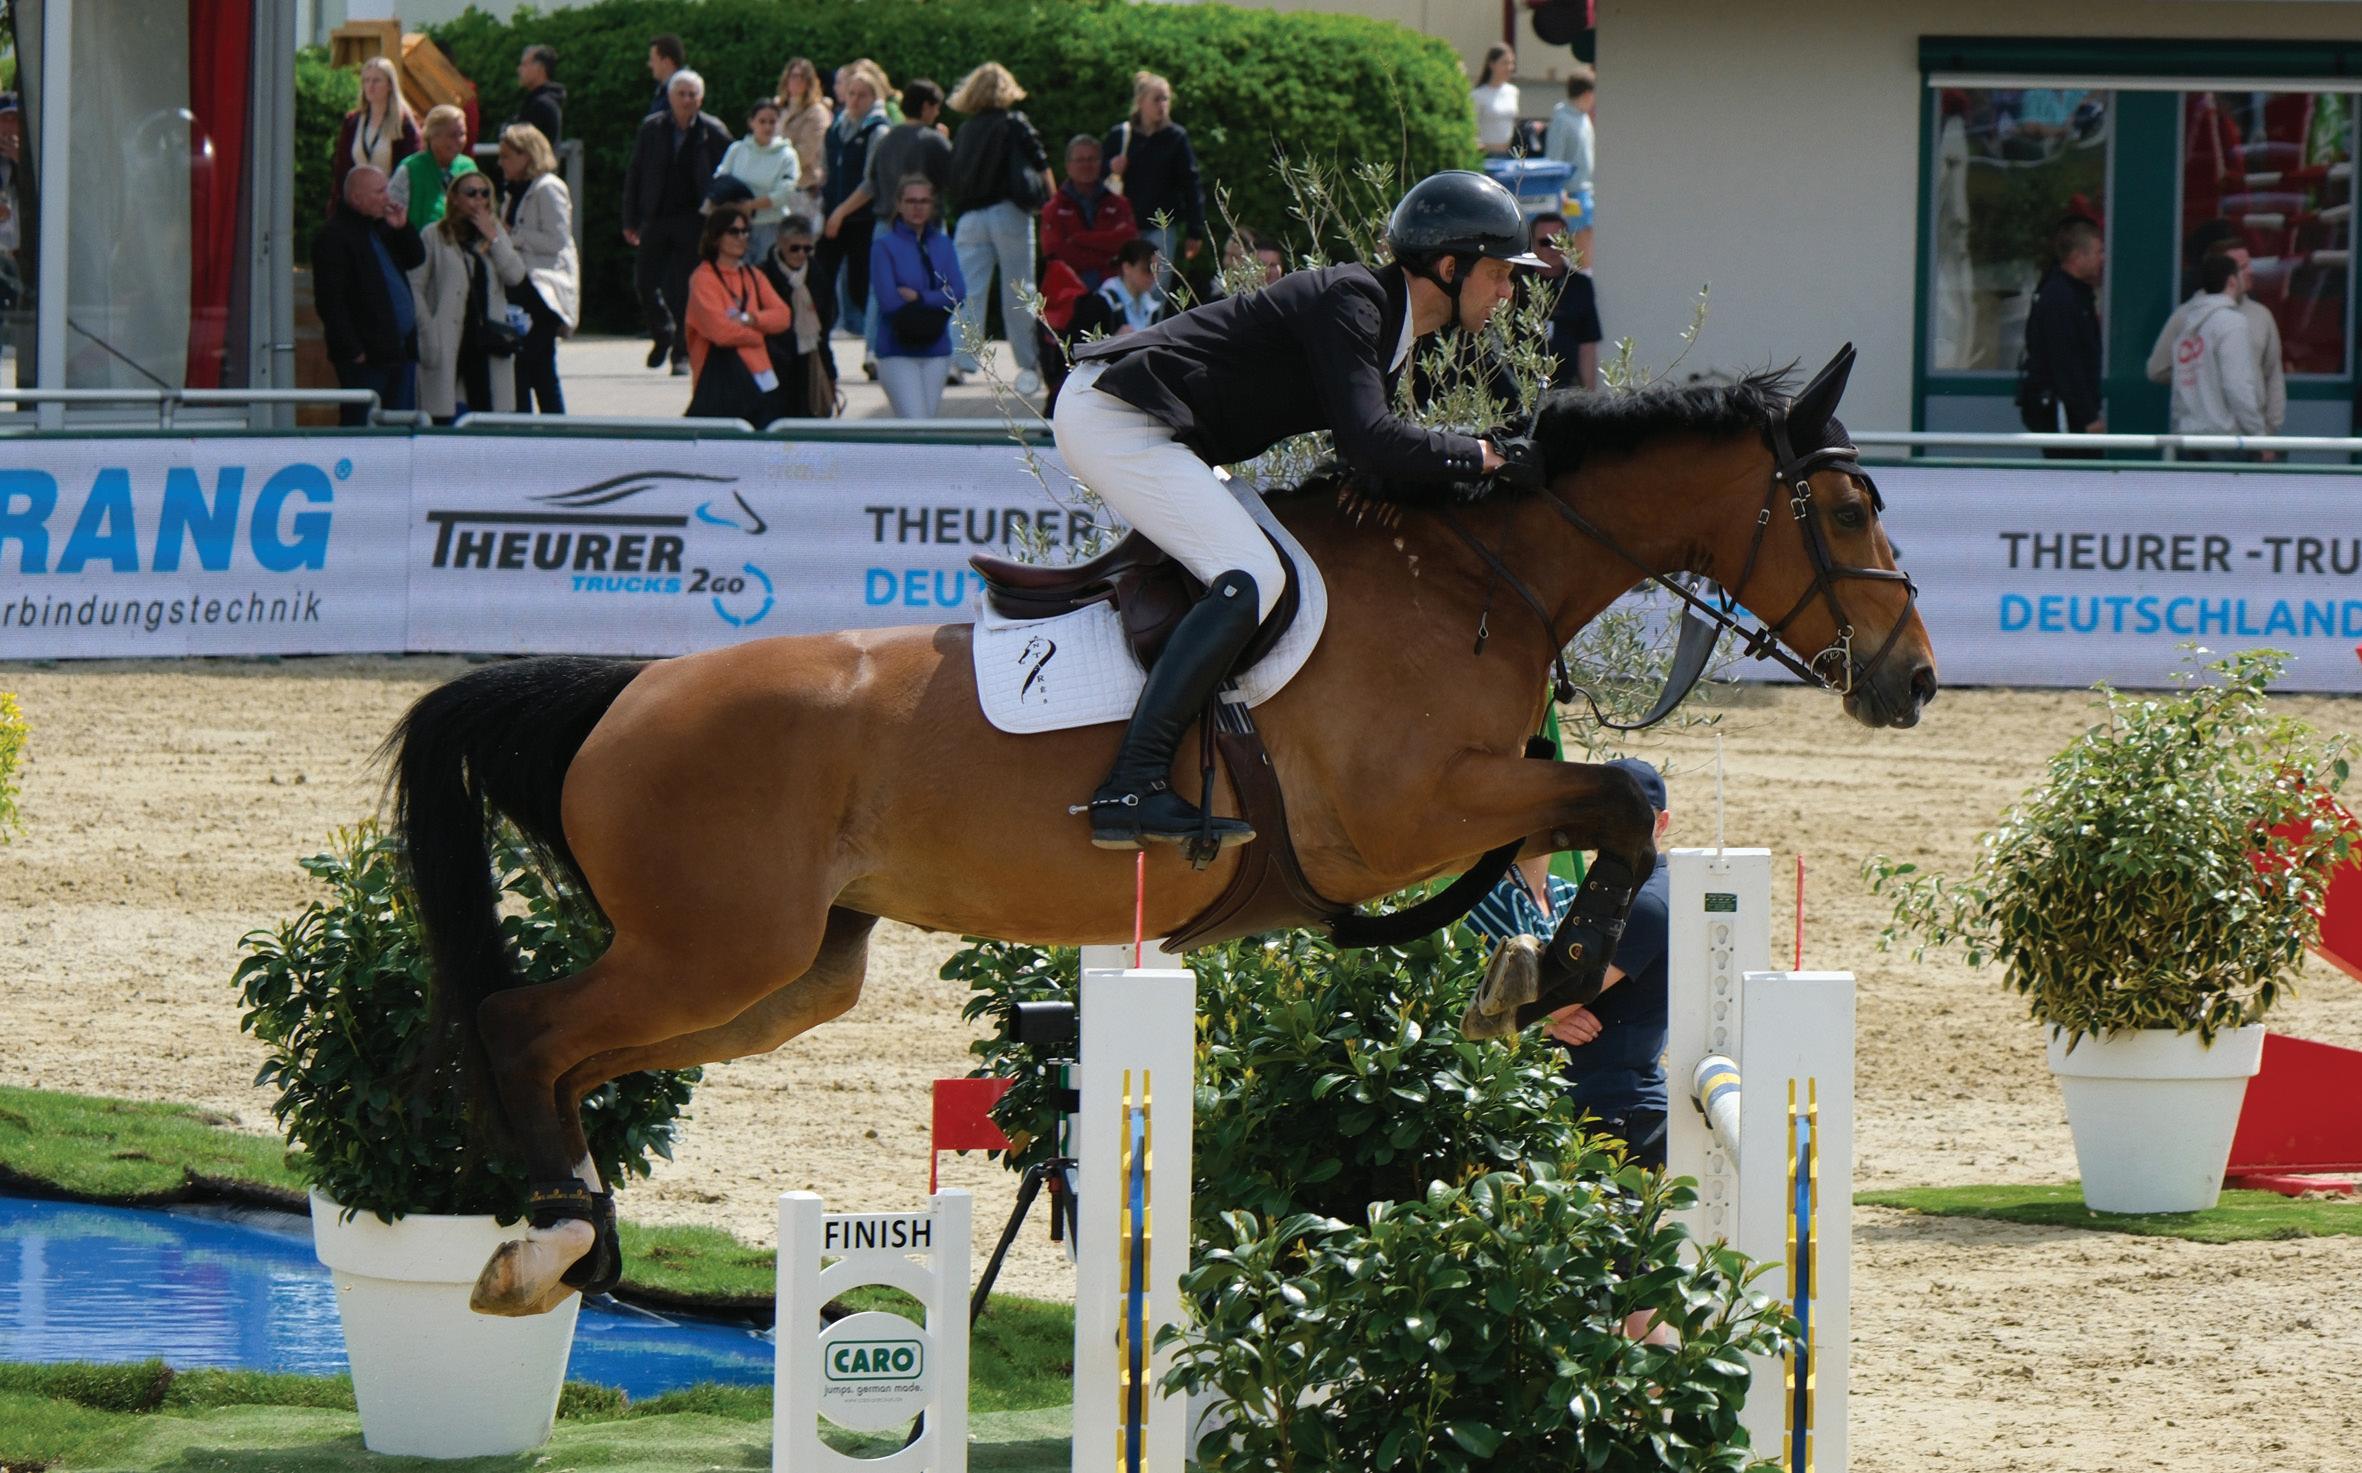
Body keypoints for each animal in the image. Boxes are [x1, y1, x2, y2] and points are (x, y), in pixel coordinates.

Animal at [386, 345, 1937, 1316]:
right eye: (1848, 501)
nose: (1912, 681)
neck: (1469, 575)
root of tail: (626, 693)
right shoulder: (1407, 812)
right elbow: (1624, 793)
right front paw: (1540, 975)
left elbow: (1623, 800)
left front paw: (1528, 970)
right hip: (713, 949)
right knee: (526, 1029)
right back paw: (554, 1240)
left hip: (784, 976)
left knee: (573, 1055)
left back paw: (568, 1237)